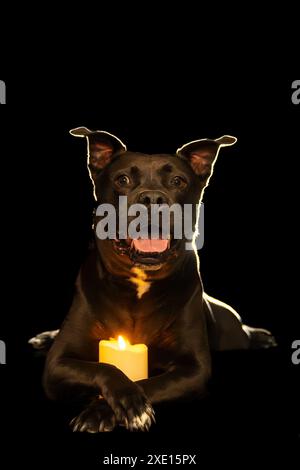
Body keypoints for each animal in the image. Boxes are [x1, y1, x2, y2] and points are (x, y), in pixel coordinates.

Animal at [31, 126, 276, 432]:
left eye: (178, 181)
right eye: (122, 179)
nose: (152, 198)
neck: (139, 281)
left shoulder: (194, 369)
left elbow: (149, 383)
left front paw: (108, 409)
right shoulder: (57, 363)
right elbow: (104, 367)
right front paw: (113, 406)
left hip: (231, 333)